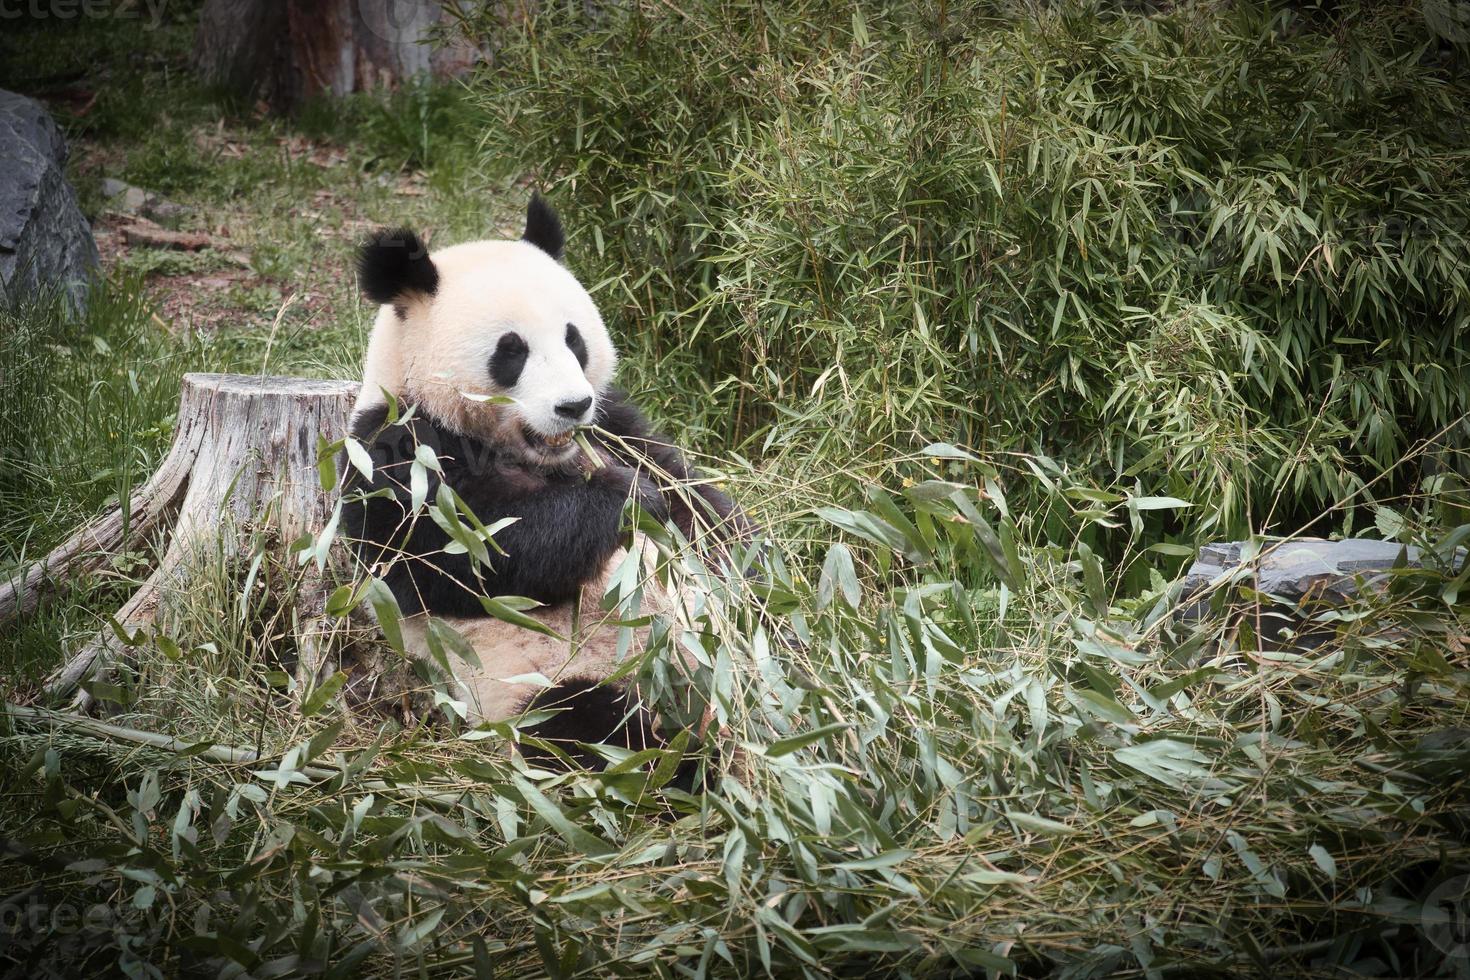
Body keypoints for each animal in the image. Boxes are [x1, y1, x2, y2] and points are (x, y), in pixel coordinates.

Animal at [342, 195, 746, 769]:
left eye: (574, 339)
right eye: (512, 351)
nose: (572, 406)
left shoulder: (614, 423)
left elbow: (698, 504)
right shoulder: (398, 454)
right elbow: (475, 554)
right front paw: (628, 499)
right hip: (547, 685)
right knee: (591, 728)